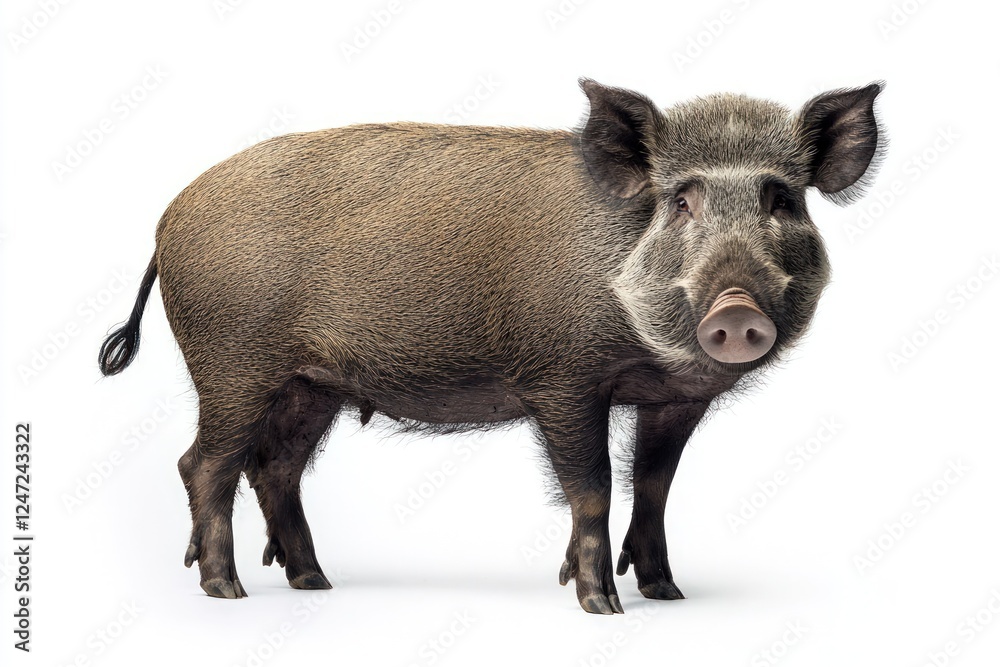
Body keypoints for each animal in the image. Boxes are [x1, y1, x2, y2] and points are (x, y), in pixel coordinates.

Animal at [99, 79, 884, 614]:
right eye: (680, 201)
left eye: (782, 200)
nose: (736, 308)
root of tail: (166, 221)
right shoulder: (562, 379)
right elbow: (593, 487)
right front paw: (601, 606)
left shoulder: (674, 400)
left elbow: (655, 486)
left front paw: (668, 594)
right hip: (231, 365)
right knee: (204, 464)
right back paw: (227, 590)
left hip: (309, 384)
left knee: (274, 468)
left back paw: (314, 582)